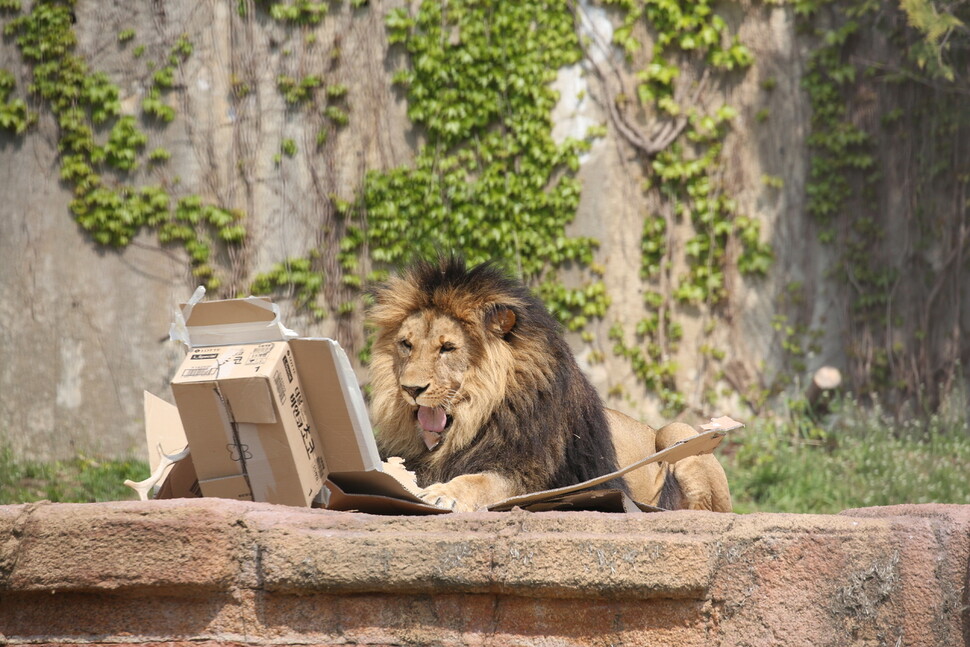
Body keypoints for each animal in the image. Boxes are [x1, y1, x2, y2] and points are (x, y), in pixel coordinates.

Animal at [366, 256, 728, 512]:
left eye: (447, 348)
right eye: (406, 345)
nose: (411, 390)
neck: (478, 416)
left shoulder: (545, 478)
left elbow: (483, 481)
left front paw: (444, 493)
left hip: (677, 430)